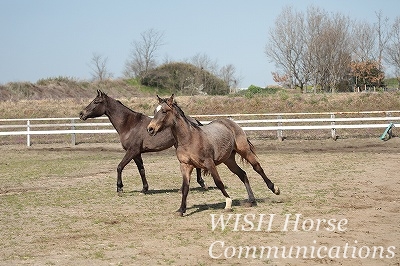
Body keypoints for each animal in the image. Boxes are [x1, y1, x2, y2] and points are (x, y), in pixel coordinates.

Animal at [80, 90, 208, 193]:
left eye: (96, 102)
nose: (81, 114)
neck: (129, 124)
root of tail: (194, 121)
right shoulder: (137, 153)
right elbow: (141, 170)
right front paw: (145, 188)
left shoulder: (132, 151)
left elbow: (119, 167)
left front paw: (119, 187)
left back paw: (200, 183)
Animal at [145, 95, 280, 216]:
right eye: (154, 111)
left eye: (164, 111)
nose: (150, 129)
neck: (189, 139)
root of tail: (231, 122)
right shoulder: (185, 165)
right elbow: (185, 188)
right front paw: (181, 210)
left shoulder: (209, 163)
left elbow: (218, 182)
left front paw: (228, 204)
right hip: (229, 160)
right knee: (242, 174)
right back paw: (251, 200)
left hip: (245, 151)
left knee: (257, 168)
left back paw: (275, 189)